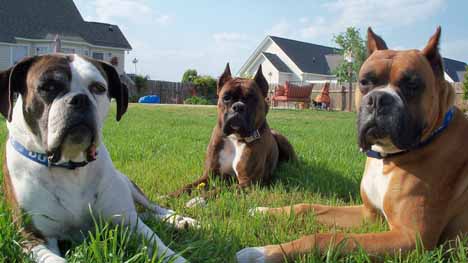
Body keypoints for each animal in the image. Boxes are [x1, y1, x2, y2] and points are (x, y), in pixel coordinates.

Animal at [1, 54, 196, 263]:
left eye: (98, 88)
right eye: (48, 86)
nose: (80, 99)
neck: (70, 166)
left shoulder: (129, 223)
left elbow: (159, 245)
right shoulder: (34, 238)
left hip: (127, 183)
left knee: (151, 208)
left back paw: (181, 220)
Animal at [169, 64, 296, 206]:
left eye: (252, 98)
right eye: (226, 97)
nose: (238, 106)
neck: (235, 138)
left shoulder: (248, 182)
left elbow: (221, 189)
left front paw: (198, 199)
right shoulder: (209, 175)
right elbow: (189, 186)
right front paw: (170, 196)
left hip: (282, 139)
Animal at [238, 26, 468, 262]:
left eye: (412, 84)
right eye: (365, 81)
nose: (378, 99)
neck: (387, 158)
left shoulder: (412, 238)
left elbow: (327, 237)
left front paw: (263, 252)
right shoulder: (369, 215)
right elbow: (307, 207)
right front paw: (264, 211)